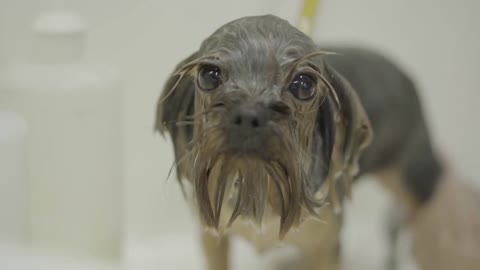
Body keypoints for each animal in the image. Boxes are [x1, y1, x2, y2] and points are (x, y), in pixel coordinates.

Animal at [156, 15, 444, 270]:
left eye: (304, 84)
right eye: (209, 74)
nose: (249, 114)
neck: (262, 185)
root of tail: (404, 73)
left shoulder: (326, 248)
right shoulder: (212, 236)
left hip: (414, 176)